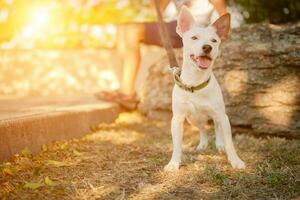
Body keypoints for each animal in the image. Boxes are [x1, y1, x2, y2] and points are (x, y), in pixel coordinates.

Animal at [165, 6, 245, 172]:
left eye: (214, 40)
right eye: (194, 38)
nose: (207, 47)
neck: (196, 83)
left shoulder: (222, 116)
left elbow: (229, 142)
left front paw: (235, 161)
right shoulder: (177, 119)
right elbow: (177, 145)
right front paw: (174, 163)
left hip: (217, 116)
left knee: (216, 127)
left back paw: (219, 145)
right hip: (193, 119)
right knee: (203, 128)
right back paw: (203, 144)